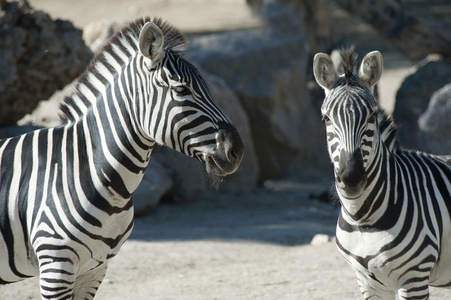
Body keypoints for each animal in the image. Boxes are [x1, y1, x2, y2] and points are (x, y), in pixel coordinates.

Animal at [312, 48, 451, 298]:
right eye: (326, 119)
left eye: (371, 116)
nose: (351, 178)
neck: (360, 219)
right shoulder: (368, 283)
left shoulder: (414, 278)